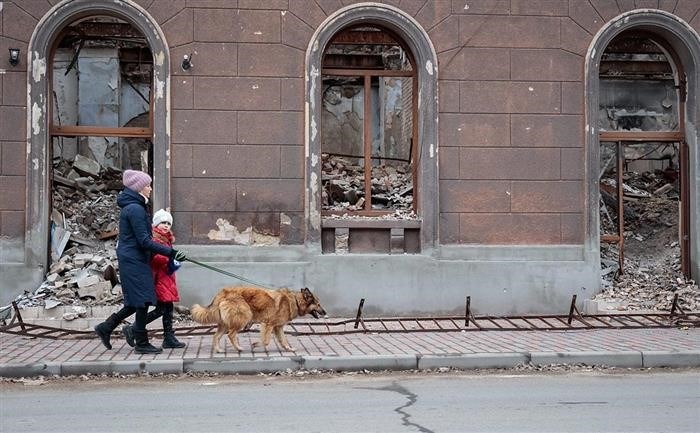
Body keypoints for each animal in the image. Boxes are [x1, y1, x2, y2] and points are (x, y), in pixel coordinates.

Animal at [191, 286, 328, 352]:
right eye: (318, 304)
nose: (325, 312)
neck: (295, 301)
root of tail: (222, 292)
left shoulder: (278, 327)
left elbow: (283, 340)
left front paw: (288, 349)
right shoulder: (269, 324)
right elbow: (266, 341)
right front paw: (256, 344)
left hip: (225, 324)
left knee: (216, 336)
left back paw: (218, 350)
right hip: (245, 317)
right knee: (231, 334)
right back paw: (238, 348)